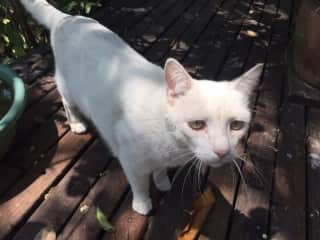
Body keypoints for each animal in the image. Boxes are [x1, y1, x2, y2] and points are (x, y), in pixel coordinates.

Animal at [20, 0, 262, 214]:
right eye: (196, 124)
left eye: (237, 125)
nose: (222, 152)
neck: (173, 144)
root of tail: (67, 18)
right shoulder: (131, 161)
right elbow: (140, 184)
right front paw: (142, 204)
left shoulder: (161, 159)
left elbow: (160, 170)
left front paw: (162, 182)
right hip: (68, 89)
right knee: (67, 103)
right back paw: (77, 124)